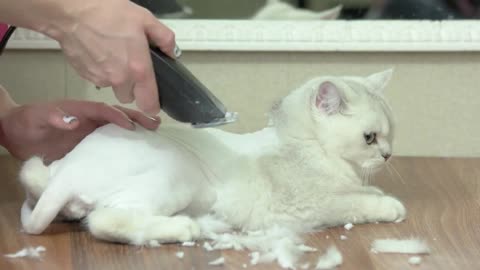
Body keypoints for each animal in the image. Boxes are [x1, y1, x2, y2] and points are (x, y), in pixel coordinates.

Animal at [17, 68, 404, 247]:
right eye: (370, 138)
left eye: (390, 134)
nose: (388, 155)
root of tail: (66, 172)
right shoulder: (312, 205)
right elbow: (356, 203)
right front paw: (390, 205)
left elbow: (363, 192)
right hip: (181, 179)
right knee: (105, 220)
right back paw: (185, 227)